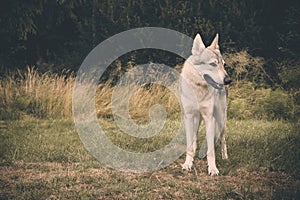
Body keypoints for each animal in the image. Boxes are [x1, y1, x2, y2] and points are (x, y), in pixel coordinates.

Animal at [179, 32, 231, 175]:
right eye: (213, 64)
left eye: (223, 65)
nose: (228, 80)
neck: (198, 89)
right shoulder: (188, 117)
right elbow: (190, 146)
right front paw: (187, 164)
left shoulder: (209, 118)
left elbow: (211, 150)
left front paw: (213, 169)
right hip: (196, 120)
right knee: (194, 139)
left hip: (221, 120)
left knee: (222, 140)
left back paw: (225, 157)